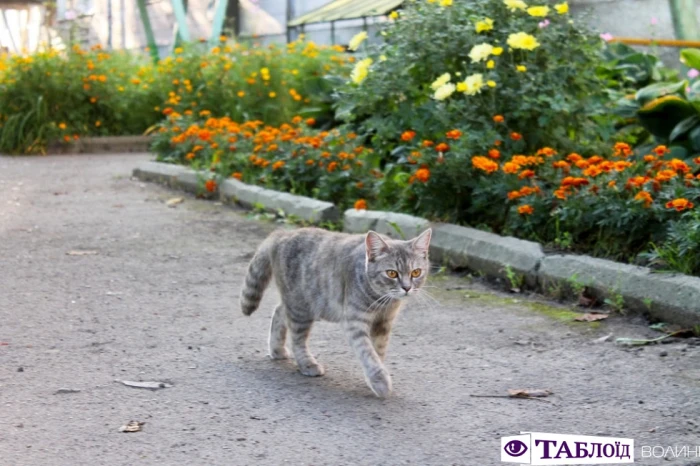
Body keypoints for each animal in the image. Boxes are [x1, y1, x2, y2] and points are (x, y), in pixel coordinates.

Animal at [239, 226, 432, 396]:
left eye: (416, 272)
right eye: (392, 273)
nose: (407, 288)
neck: (381, 301)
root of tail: (283, 233)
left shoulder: (383, 323)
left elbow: (378, 350)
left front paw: (374, 376)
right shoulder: (355, 321)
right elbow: (367, 352)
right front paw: (379, 381)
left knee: (279, 312)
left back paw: (277, 349)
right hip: (301, 308)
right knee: (297, 340)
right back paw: (307, 363)